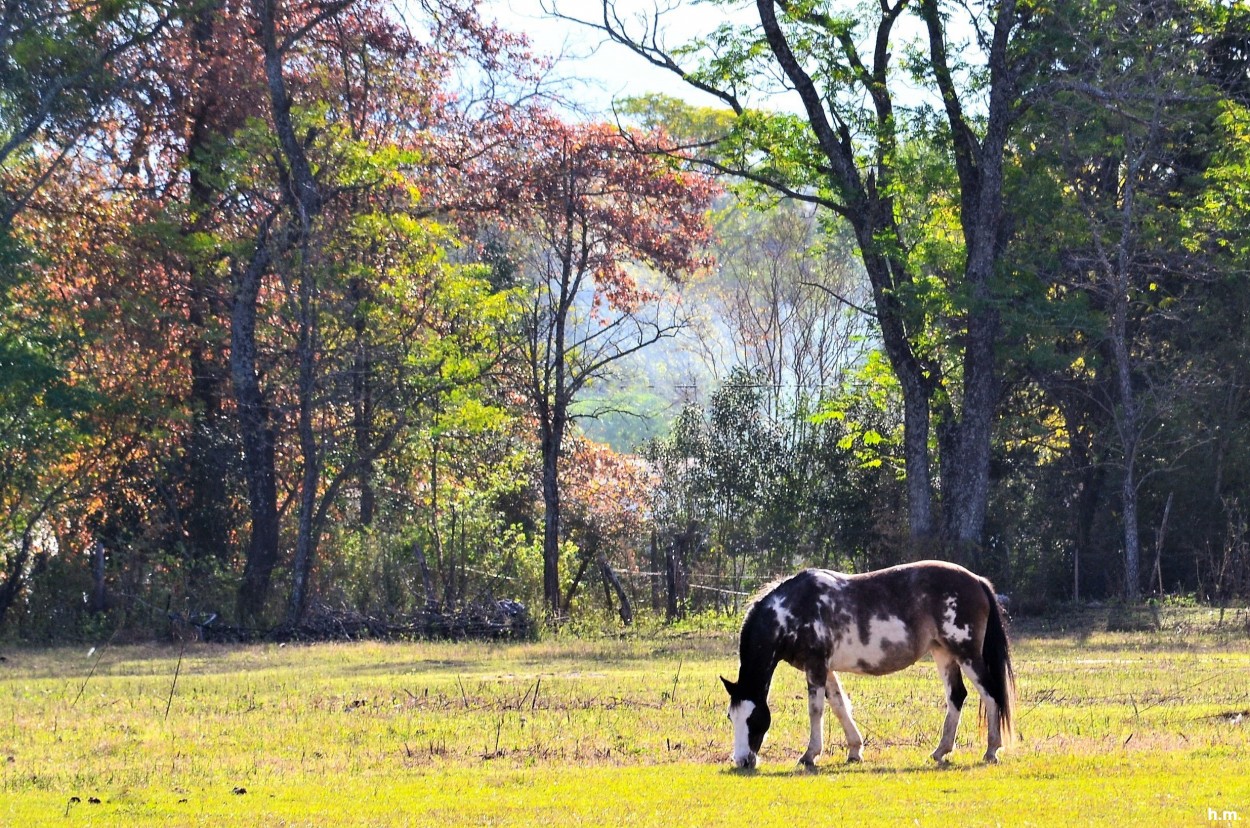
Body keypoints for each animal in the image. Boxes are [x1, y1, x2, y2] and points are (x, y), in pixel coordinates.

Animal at [725, 560, 1015, 775]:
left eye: (753, 718)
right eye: (731, 717)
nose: (742, 761)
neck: (792, 610)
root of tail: (976, 580)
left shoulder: (816, 666)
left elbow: (816, 710)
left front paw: (809, 755)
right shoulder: (825, 668)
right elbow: (839, 705)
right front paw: (854, 750)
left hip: (966, 654)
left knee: (991, 694)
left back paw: (991, 750)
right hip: (943, 652)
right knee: (957, 696)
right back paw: (941, 751)